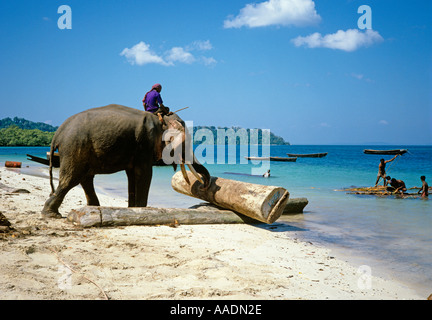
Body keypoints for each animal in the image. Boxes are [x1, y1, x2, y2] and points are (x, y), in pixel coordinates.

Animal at [41, 104, 210, 219]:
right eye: (185, 142)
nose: (204, 186)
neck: (160, 118)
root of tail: (58, 133)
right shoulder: (144, 145)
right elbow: (144, 174)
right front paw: (140, 209)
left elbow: (132, 176)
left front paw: (132, 209)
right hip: (75, 148)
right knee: (71, 178)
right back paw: (51, 215)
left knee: (85, 178)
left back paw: (92, 208)